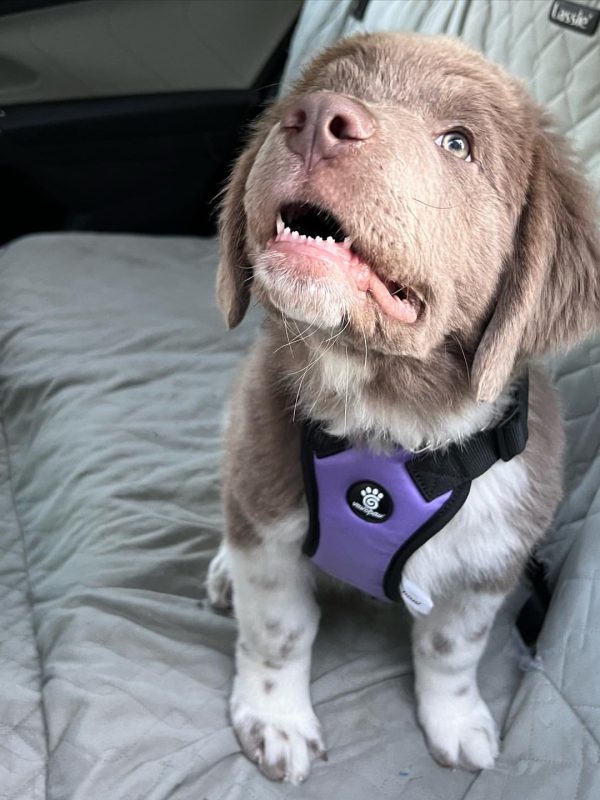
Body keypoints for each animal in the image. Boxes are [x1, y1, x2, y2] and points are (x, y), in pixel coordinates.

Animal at [205, 34, 600, 784]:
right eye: (322, 87)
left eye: (459, 142)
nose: (315, 117)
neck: (389, 416)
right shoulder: (265, 520)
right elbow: (278, 630)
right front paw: (276, 719)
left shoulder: (493, 561)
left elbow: (451, 649)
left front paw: (459, 723)